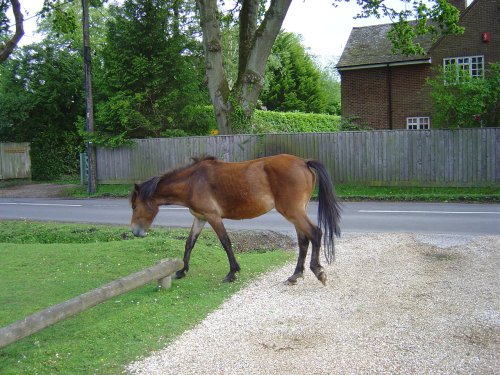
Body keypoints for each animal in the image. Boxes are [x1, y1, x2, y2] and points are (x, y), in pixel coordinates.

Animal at [129, 154, 342, 286]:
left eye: (134, 206)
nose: (135, 232)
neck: (192, 182)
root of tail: (304, 162)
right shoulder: (200, 218)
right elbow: (189, 243)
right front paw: (182, 271)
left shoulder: (213, 217)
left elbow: (226, 243)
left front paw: (232, 273)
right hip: (296, 213)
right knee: (303, 240)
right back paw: (295, 275)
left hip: (293, 212)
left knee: (315, 233)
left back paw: (318, 271)